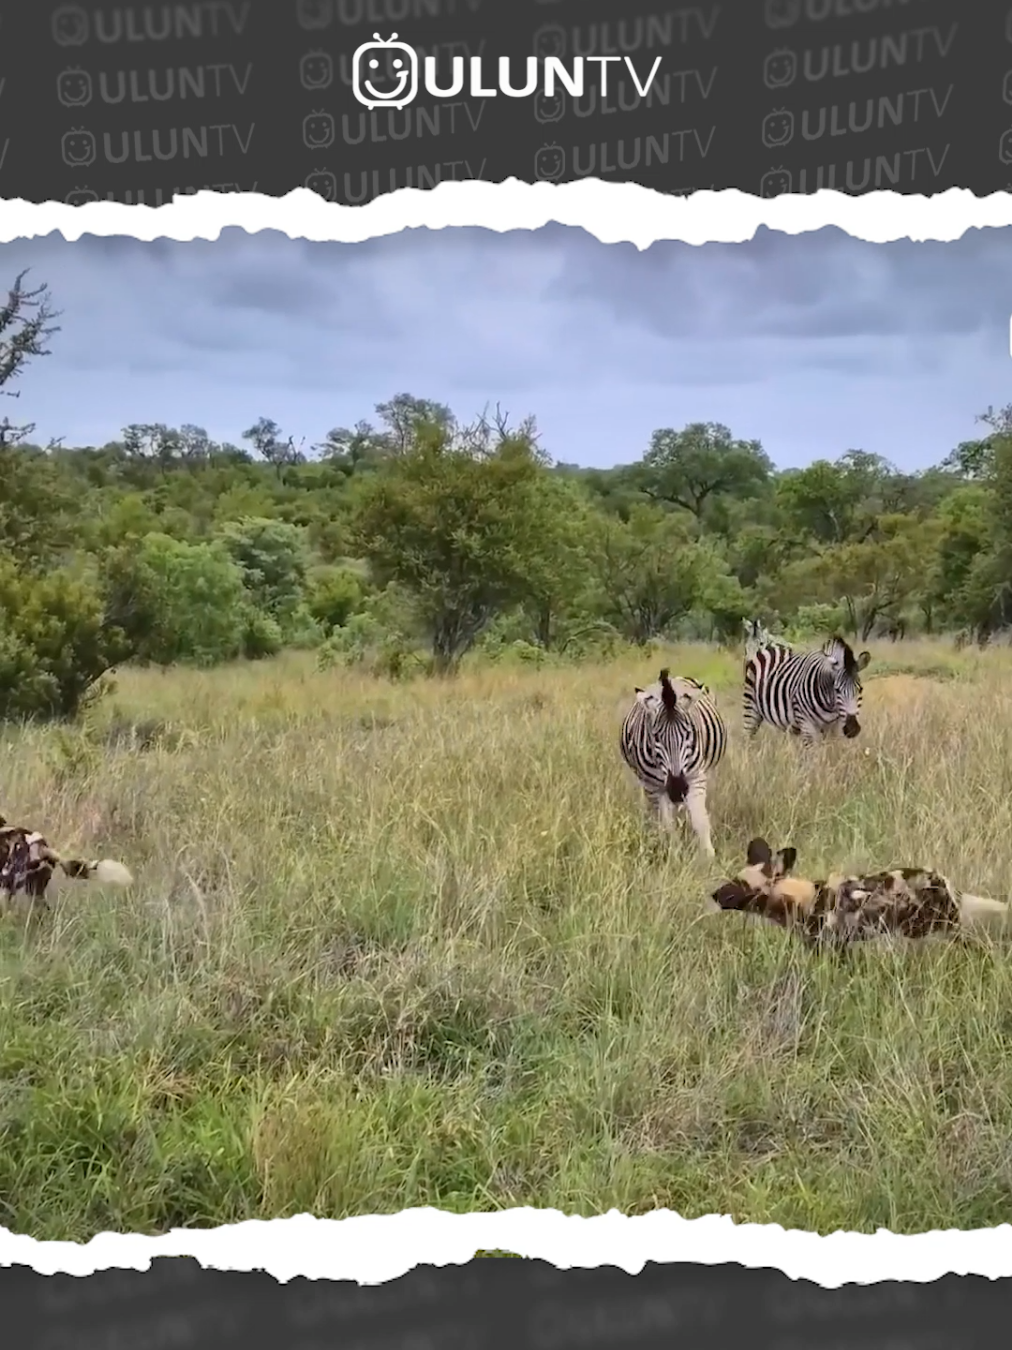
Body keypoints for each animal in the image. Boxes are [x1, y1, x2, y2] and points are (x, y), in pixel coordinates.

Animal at [619, 669, 728, 857]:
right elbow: (667, 827)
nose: (677, 790)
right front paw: (675, 856)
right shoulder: (653, 787)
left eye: (689, 734)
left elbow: (700, 821)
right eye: (656, 737)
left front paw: (708, 857)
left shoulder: (695, 778)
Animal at [743, 634, 871, 747]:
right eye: (837, 690)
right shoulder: (806, 724)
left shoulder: (835, 726)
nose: (852, 729)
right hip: (751, 707)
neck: (830, 705)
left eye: (860, 689)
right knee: (748, 737)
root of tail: (769, 647)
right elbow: (812, 756)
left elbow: (832, 752)